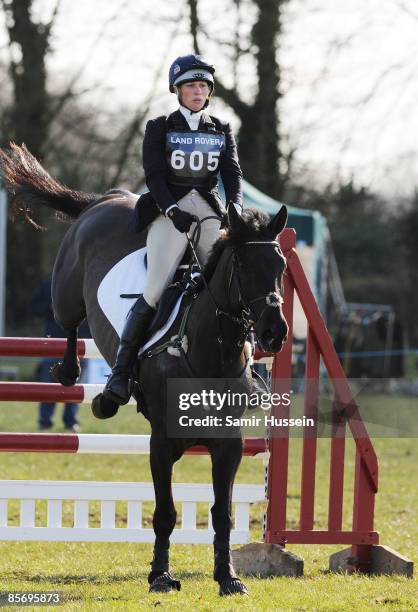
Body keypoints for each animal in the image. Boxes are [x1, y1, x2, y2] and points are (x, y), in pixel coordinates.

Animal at [0, 145, 288, 596]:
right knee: (68, 321)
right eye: (242, 265)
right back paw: (75, 376)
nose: (275, 332)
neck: (206, 350)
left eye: (281, 264)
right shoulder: (162, 442)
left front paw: (228, 577)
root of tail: (108, 198)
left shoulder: (229, 444)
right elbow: (165, 512)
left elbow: (222, 513)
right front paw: (161, 576)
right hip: (66, 291)